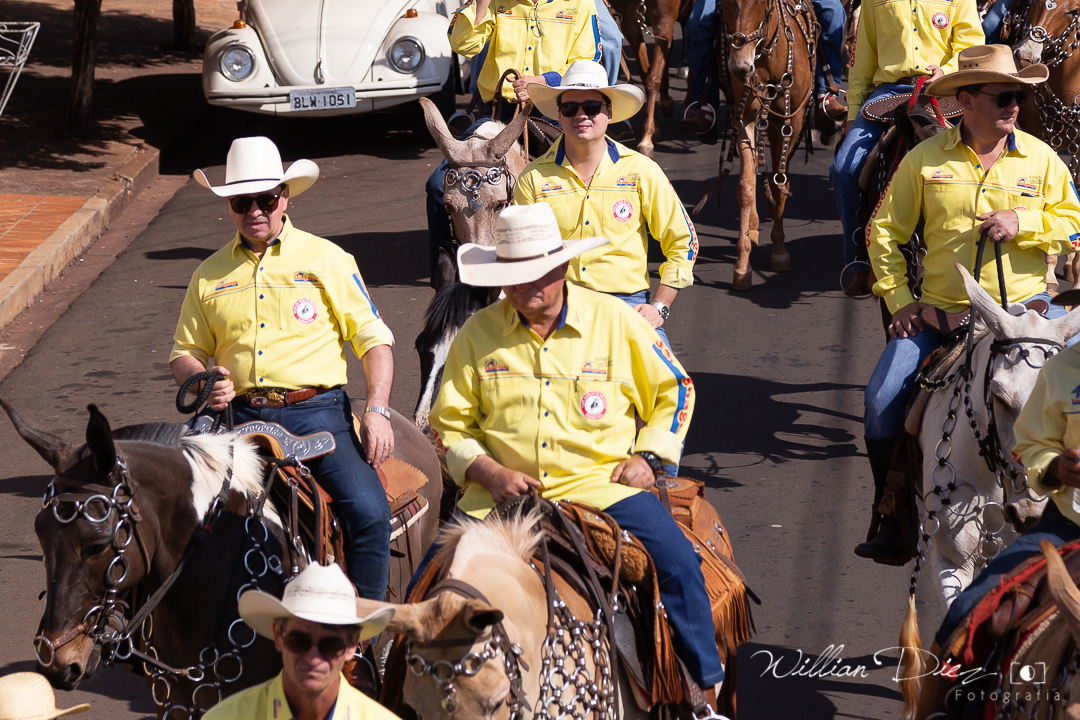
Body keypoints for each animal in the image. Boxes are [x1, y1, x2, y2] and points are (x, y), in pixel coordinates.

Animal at [702, 0, 817, 290]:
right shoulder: (745, 118)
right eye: (722, 3)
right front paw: (742, 266)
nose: (740, 66)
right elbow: (745, 187)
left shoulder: (791, 119)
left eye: (761, 3)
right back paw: (753, 225)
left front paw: (779, 251)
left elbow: (780, 183)